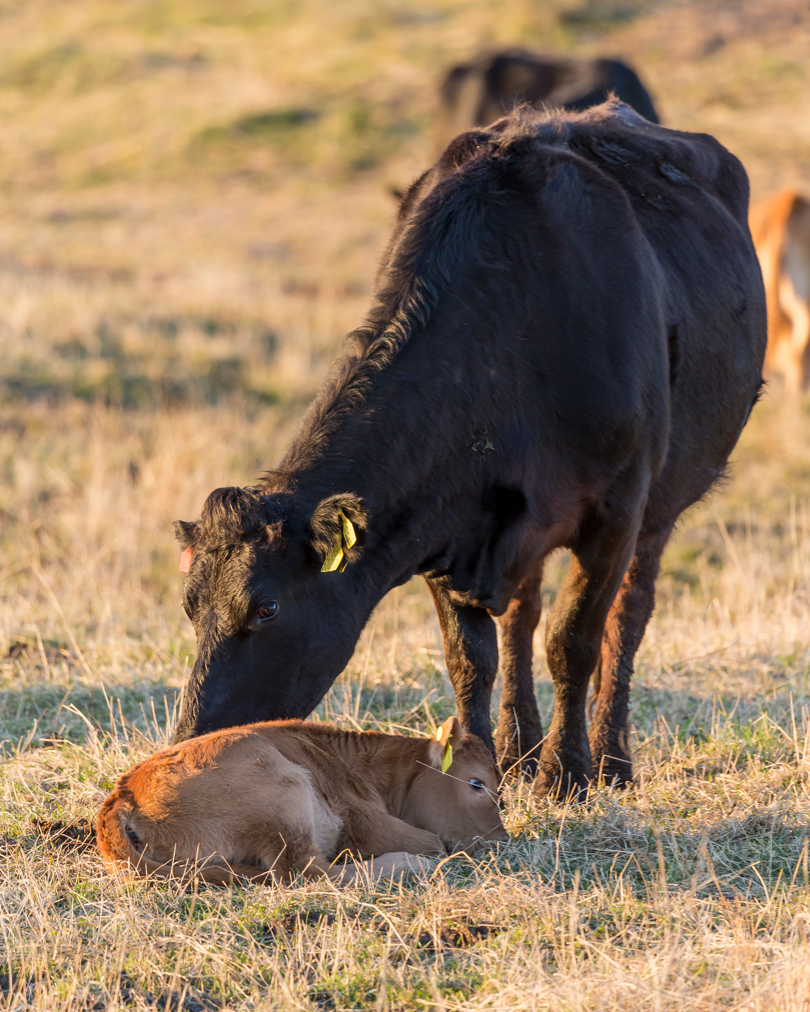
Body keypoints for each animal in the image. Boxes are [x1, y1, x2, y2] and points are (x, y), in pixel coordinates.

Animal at [97, 716, 507, 885]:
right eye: (477, 783)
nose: (501, 842)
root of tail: (122, 797)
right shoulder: (366, 821)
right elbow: (433, 840)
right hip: (286, 793)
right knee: (307, 871)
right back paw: (408, 864)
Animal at [172, 101, 766, 800]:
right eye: (190, 607)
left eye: (266, 608)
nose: (190, 744)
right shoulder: (442, 520)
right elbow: (471, 658)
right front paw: (482, 772)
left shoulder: (617, 506)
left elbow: (575, 640)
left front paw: (568, 775)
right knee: (520, 620)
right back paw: (517, 749)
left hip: (662, 504)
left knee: (627, 618)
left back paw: (611, 762)